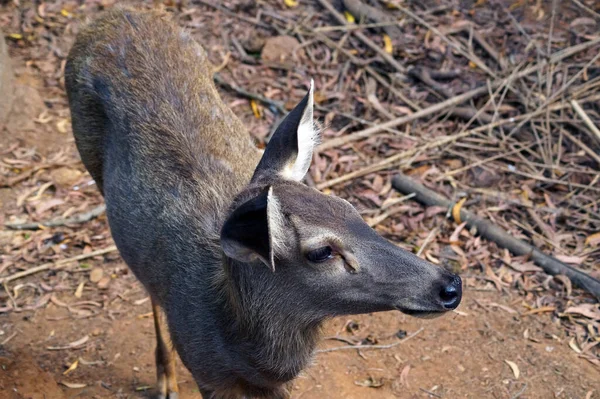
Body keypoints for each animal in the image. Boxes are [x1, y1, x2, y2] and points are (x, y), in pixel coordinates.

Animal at [64, 7, 460, 399]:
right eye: (321, 251)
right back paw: (166, 380)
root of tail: (117, 13)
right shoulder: (207, 373)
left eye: (350, 208)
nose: (451, 285)